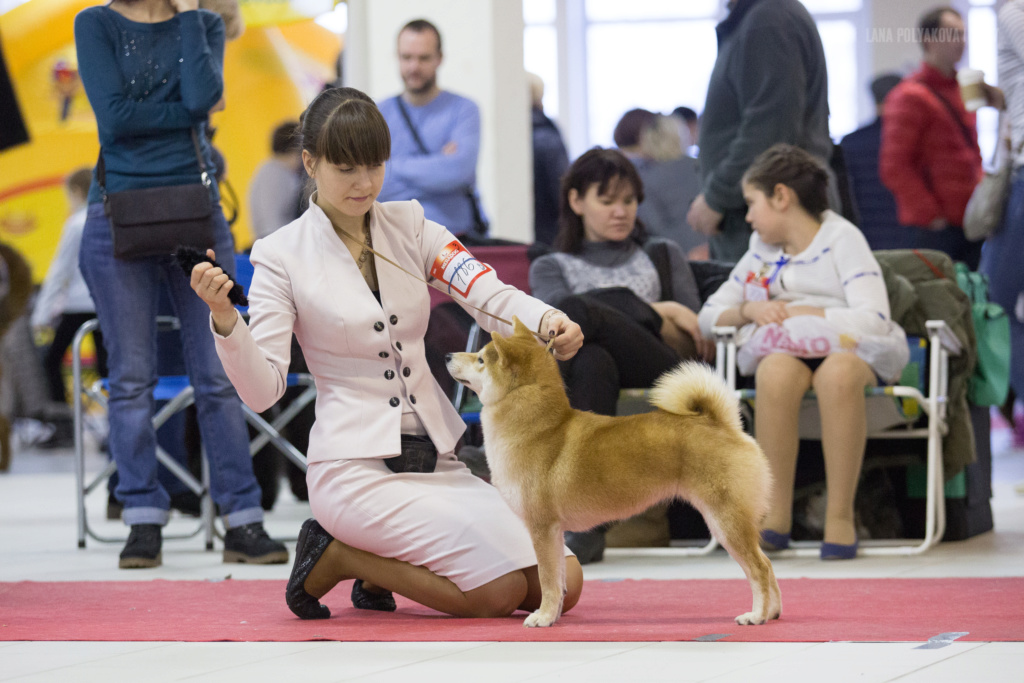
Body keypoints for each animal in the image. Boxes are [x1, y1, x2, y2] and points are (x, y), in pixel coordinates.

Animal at [444, 317, 778, 626]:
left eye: (480, 359)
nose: (447, 355)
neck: (539, 428)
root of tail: (721, 424)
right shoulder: (555, 532)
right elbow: (559, 580)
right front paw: (554, 615)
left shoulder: (541, 527)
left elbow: (546, 578)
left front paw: (542, 617)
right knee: (767, 564)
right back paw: (773, 612)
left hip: (726, 521)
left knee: (759, 568)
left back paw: (757, 616)